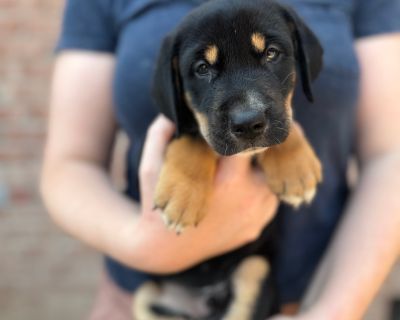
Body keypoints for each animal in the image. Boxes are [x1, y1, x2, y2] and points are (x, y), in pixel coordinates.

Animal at [134, 0, 322, 318]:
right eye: (202, 68)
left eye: (271, 53)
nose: (248, 124)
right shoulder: (175, 126)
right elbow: (193, 138)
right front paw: (182, 196)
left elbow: (285, 126)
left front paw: (295, 169)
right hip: (146, 296)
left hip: (254, 270)